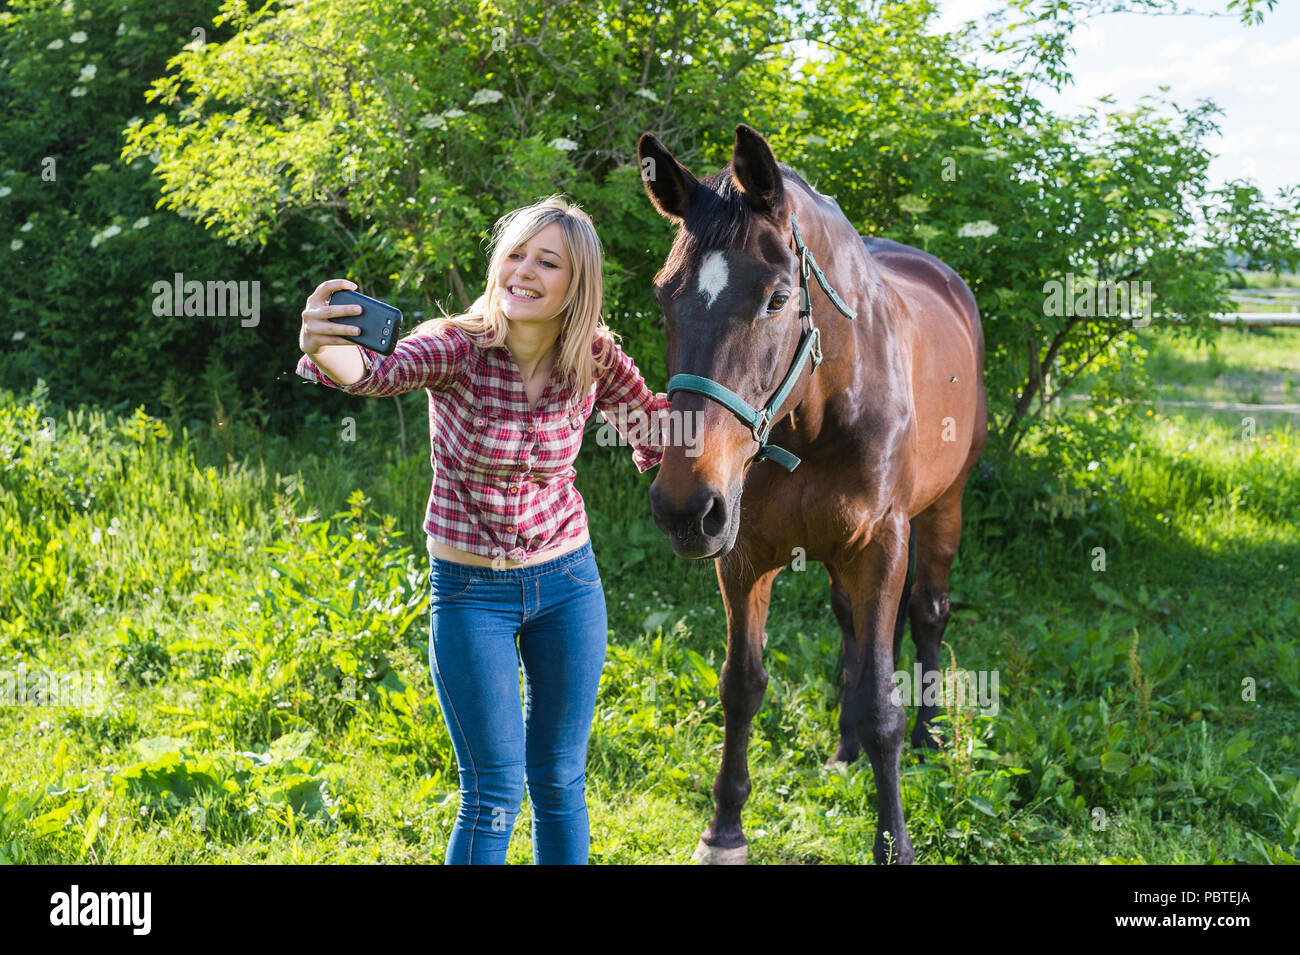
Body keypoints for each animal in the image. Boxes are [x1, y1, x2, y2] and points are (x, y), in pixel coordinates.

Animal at [637, 124, 987, 864]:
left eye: (776, 298)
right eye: (663, 298)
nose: (685, 506)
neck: (820, 414)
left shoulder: (881, 547)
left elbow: (885, 698)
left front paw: (893, 841)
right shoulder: (742, 557)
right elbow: (742, 685)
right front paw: (724, 830)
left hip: (943, 509)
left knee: (928, 613)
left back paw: (929, 737)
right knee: (852, 628)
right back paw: (845, 748)